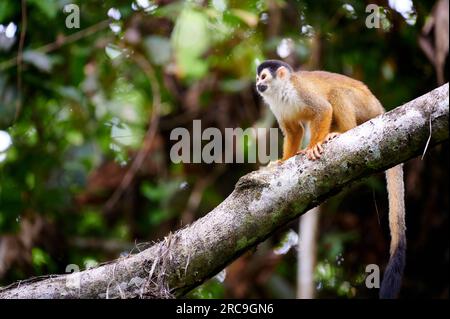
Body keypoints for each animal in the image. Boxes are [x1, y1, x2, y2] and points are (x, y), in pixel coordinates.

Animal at [256, 60, 408, 300]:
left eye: (263, 77)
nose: (257, 84)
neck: (281, 91)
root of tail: (380, 108)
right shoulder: (277, 108)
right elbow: (293, 130)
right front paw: (283, 161)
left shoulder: (301, 90)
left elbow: (323, 109)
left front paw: (313, 146)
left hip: (366, 106)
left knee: (337, 93)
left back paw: (342, 132)